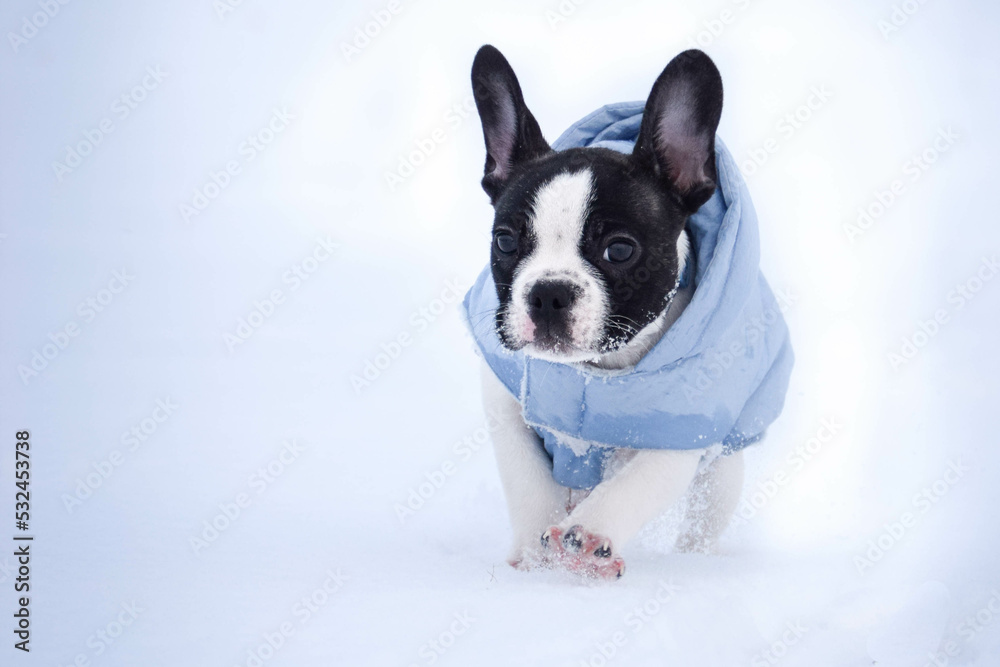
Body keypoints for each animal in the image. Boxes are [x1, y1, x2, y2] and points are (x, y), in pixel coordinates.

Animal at [472, 45, 748, 580]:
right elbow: (526, 481)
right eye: (505, 241)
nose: (548, 293)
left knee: (704, 521)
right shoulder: (505, 405)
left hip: (726, 470)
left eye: (619, 250)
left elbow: (639, 482)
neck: (594, 373)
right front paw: (535, 556)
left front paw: (587, 536)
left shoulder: (683, 427)